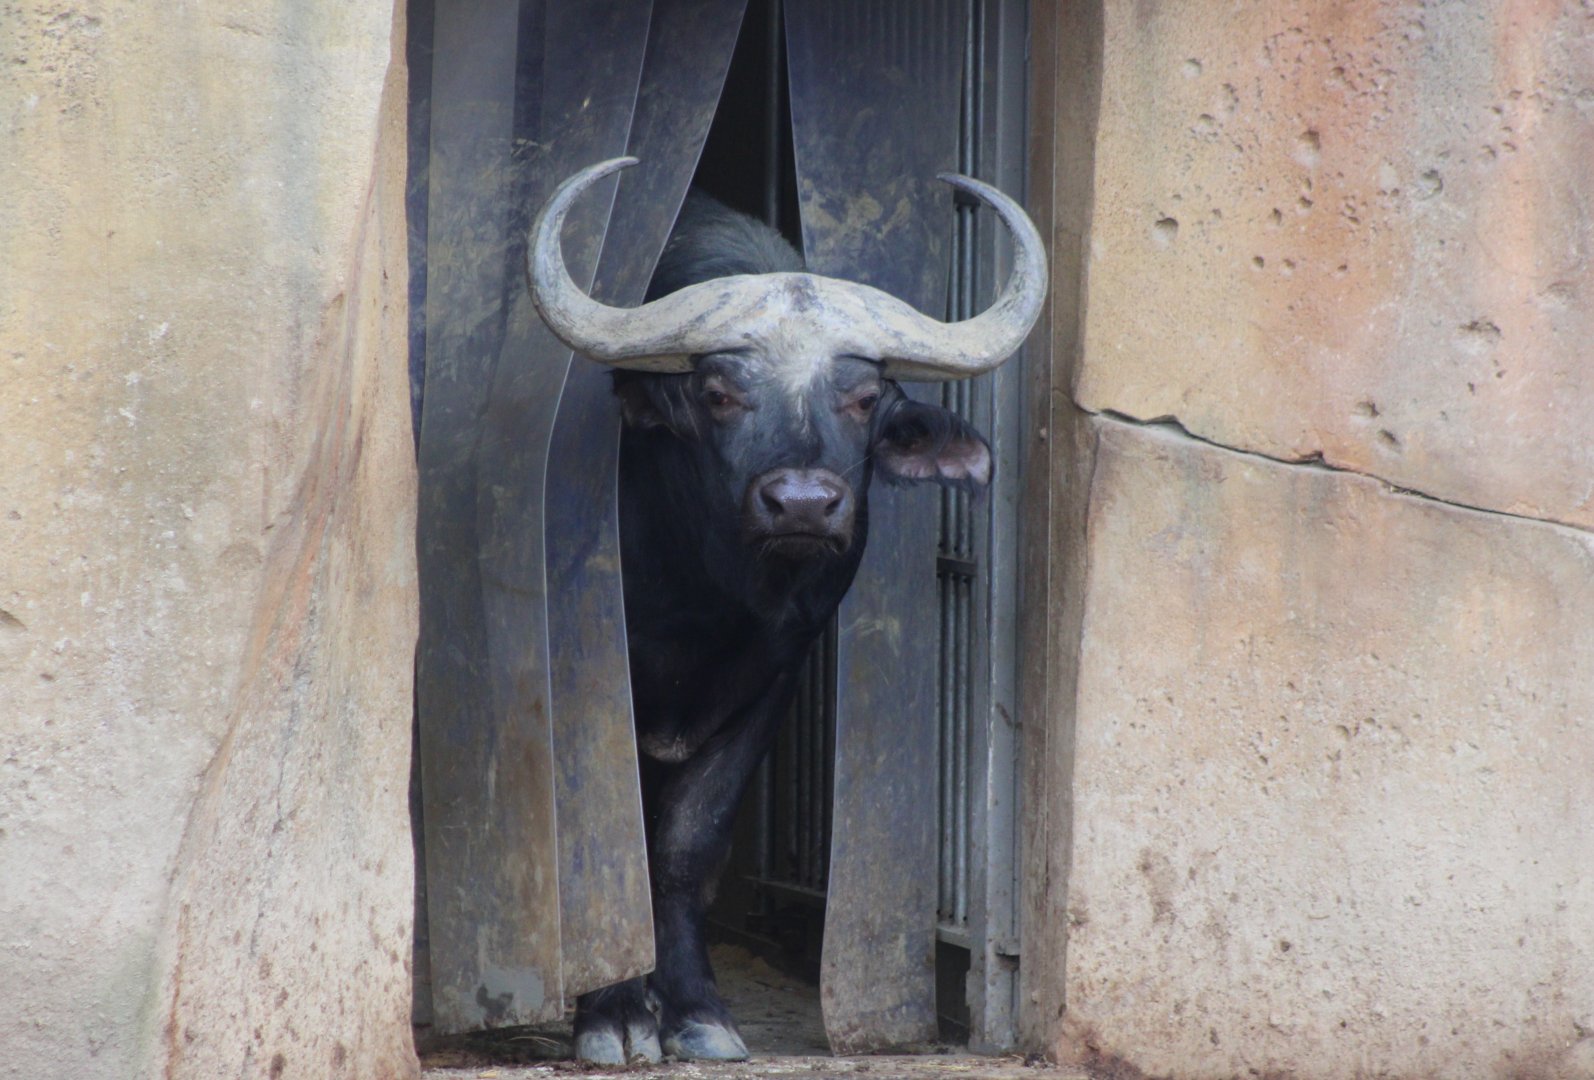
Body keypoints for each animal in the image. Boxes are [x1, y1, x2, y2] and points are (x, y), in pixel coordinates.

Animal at [527, 157, 1045, 1063]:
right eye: (718, 391)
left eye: (865, 396)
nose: (802, 503)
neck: (705, 597)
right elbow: (609, 832)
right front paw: (616, 1012)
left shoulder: (774, 677)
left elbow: (688, 843)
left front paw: (696, 1009)